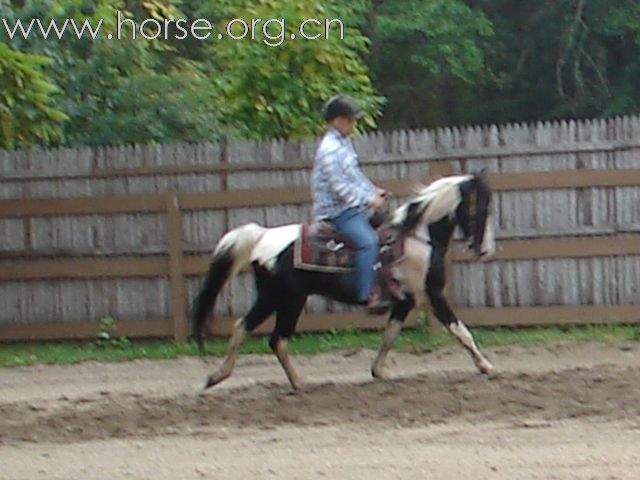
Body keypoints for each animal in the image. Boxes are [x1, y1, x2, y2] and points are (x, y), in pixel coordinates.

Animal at [192, 172, 498, 390]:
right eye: (479, 210)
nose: (486, 250)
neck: (417, 237)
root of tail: (262, 236)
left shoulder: (405, 300)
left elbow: (390, 334)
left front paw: (378, 371)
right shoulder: (432, 294)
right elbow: (461, 330)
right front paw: (487, 366)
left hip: (281, 299)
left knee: (262, 334)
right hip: (282, 299)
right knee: (259, 333)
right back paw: (235, 377)